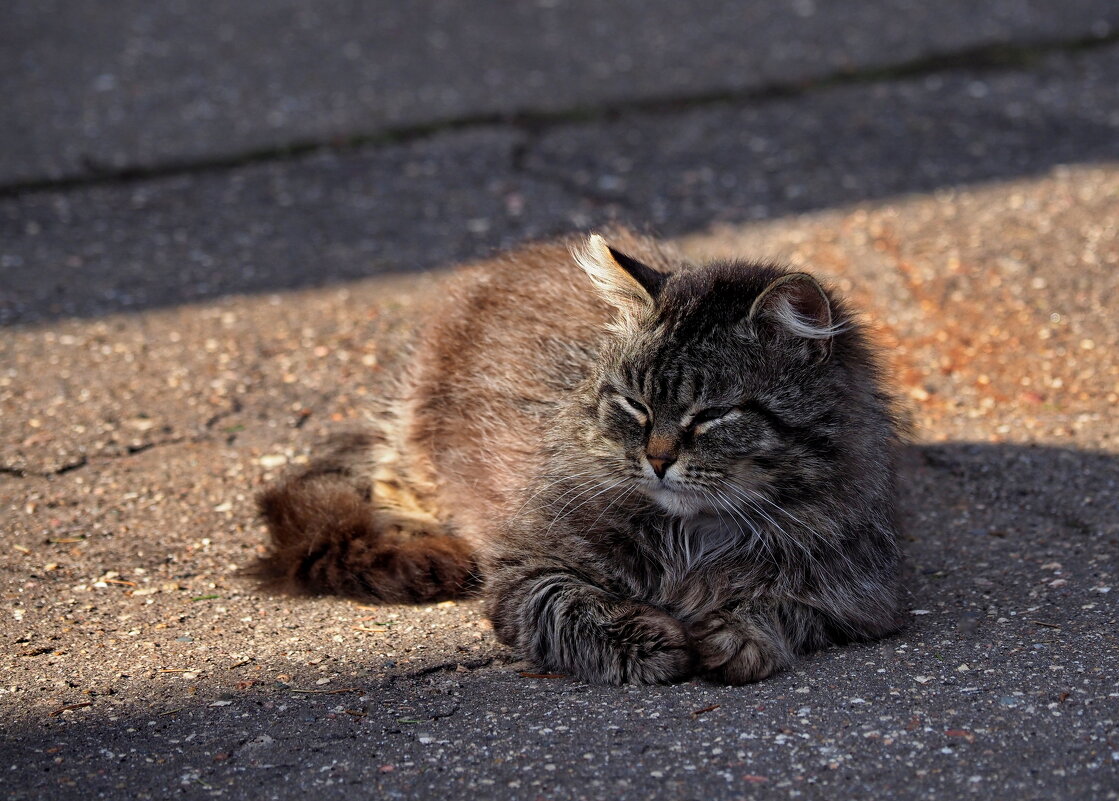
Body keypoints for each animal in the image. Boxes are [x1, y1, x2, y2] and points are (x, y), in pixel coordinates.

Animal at [257, 230, 904, 680]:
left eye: (712, 416)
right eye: (635, 406)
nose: (658, 460)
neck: (693, 537)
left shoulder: (856, 591)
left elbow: (777, 606)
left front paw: (734, 635)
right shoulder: (526, 571)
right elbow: (572, 606)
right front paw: (652, 642)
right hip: (413, 455)